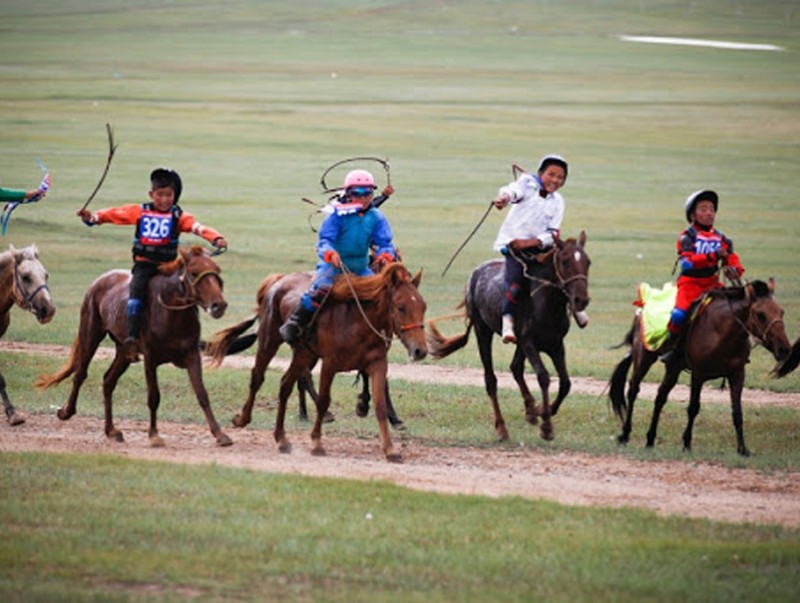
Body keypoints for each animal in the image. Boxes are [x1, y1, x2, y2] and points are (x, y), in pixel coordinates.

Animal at [37, 245, 231, 448]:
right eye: (193, 273)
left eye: (217, 270)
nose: (218, 305)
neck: (171, 312)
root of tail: (100, 281)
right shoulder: (150, 358)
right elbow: (153, 397)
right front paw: (154, 434)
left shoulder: (192, 355)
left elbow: (202, 394)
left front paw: (220, 434)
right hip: (90, 337)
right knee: (80, 374)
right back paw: (66, 412)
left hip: (123, 352)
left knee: (108, 381)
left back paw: (111, 430)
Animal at [209, 262, 428, 460]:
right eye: (400, 307)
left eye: (423, 307)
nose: (420, 351)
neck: (358, 321)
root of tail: (277, 281)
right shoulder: (329, 364)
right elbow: (323, 401)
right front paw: (316, 443)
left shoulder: (377, 364)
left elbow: (380, 404)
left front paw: (390, 449)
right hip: (269, 342)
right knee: (257, 377)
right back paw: (243, 418)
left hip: (304, 354)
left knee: (285, 385)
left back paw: (282, 439)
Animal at [428, 231, 592, 444]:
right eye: (565, 261)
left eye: (588, 262)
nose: (581, 300)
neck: (545, 304)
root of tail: (476, 274)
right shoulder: (529, 343)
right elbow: (544, 377)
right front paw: (546, 426)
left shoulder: (556, 345)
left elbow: (565, 383)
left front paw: (543, 410)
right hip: (483, 331)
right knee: (491, 380)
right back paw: (502, 428)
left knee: (515, 368)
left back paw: (530, 409)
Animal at [612, 280, 792, 458]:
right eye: (761, 315)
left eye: (782, 312)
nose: (784, 349)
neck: (722, 332)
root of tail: (641, 309)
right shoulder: (698, 375)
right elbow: (693, 408)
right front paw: (687, 443)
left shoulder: (737, 375)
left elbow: (737, 412)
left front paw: (742, 448)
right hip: (643, 359)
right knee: (633, 390)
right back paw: (625, 434)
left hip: (673, 368)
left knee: (660, 396)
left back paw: (650, 439)